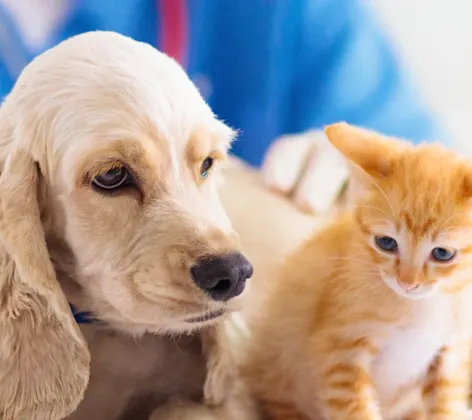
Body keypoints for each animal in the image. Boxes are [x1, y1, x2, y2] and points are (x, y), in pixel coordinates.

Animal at [242, 122, 472, 420]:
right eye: (386, 242)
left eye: (443, 254)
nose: (406, 282)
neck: (424, 306)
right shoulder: (342, 352)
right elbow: (355, 410)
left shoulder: (451, 351)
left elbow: (446, 403)